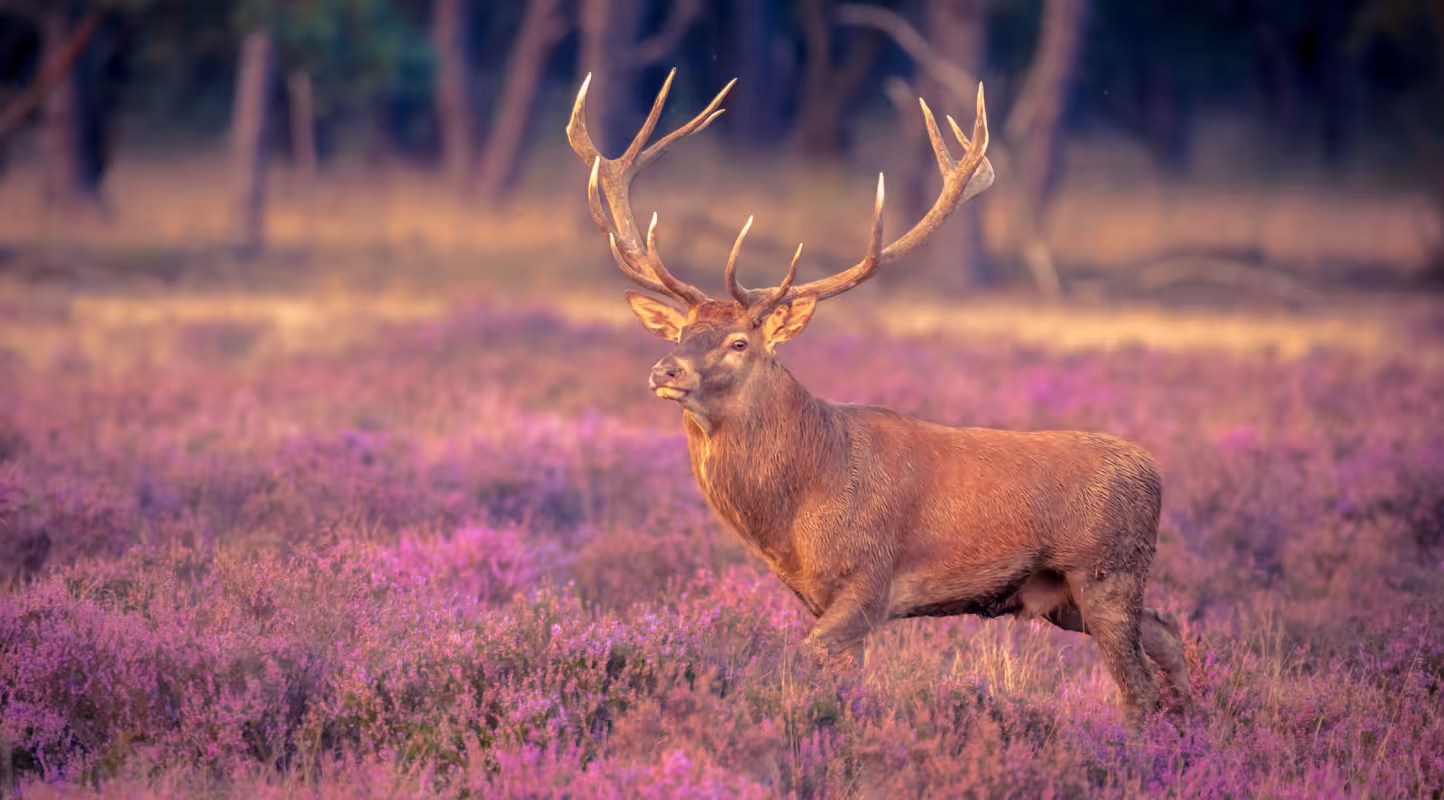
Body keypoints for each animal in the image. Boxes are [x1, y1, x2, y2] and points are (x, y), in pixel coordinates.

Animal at [566, 70, 1190, 723]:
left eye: (739, 342)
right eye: (682, 333)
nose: (665, 370)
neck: (797, 509)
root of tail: (1154, 470)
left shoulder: (870, 582)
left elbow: (795, 664)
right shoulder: (818, 595)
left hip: (1106, 571)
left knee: (1137, 687)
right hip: (1063, 596)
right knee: (1169, 632)